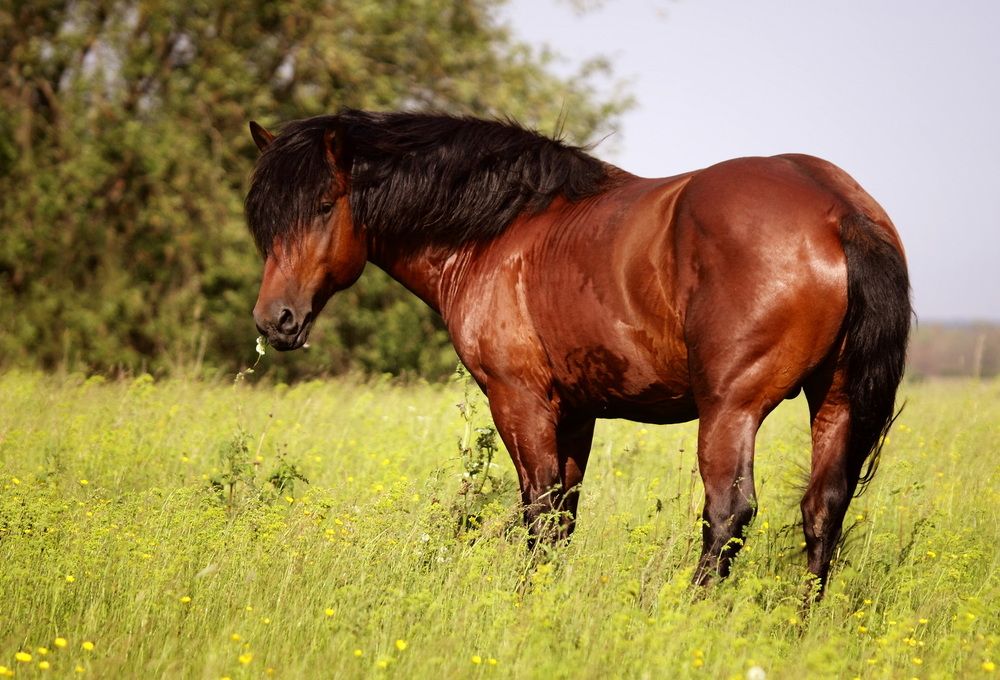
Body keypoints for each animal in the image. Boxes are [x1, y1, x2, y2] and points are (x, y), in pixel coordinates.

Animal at [244, 110, 910, 592]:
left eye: (323, 206)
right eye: (268, 219)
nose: (276, 321)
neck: (499, 231)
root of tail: (838, 210)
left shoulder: (519, 401)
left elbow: (538, 509)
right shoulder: (576, 410)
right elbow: (564, 513)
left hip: (731, 409)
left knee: (728, 512)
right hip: (835, 402)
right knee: (823, 508)